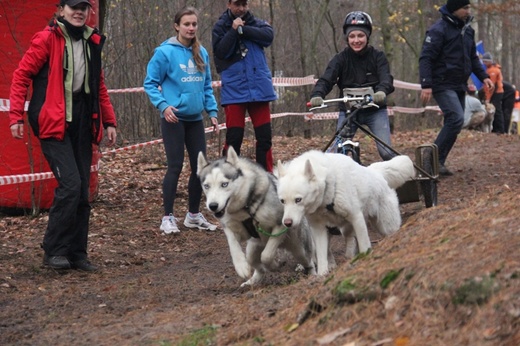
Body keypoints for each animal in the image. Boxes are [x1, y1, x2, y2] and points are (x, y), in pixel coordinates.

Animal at [196, 147, 314, 286]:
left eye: (224, 184)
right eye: (206, 186)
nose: (213, 206)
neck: (245, 208)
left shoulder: (280, 225)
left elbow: (267, 255)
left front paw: (273, 265)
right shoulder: (231, 227)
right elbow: (233, 245)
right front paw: (241, 266)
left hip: (299, 249)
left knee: (308, 261)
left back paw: (314, 274)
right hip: (253, 247)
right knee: (254, 263)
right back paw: (253, 279)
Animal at [276, 151, 414, 276]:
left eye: (298, 200)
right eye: (282, 201)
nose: (287, 223)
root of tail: (375, 172)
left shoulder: (356, 217)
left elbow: (364, 244)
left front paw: (365, 258)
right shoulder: (318, 229)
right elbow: (321, 256)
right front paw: (322, 275)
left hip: (386, 226)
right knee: (345, 241)